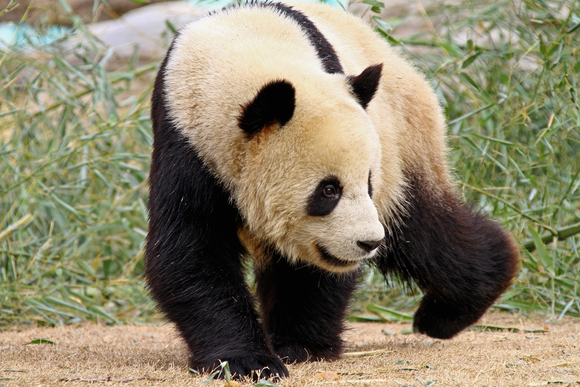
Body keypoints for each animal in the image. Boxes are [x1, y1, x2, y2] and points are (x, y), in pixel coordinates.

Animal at [146, 0, 520, 382]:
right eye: (328, 190)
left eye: (367, 182)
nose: (368, 242)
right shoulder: (186, 147)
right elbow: (192, 253)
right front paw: (246, 361)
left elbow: (315, 272)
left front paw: (299, 345)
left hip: (402, 140)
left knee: (425, 233)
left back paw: (450, 309)